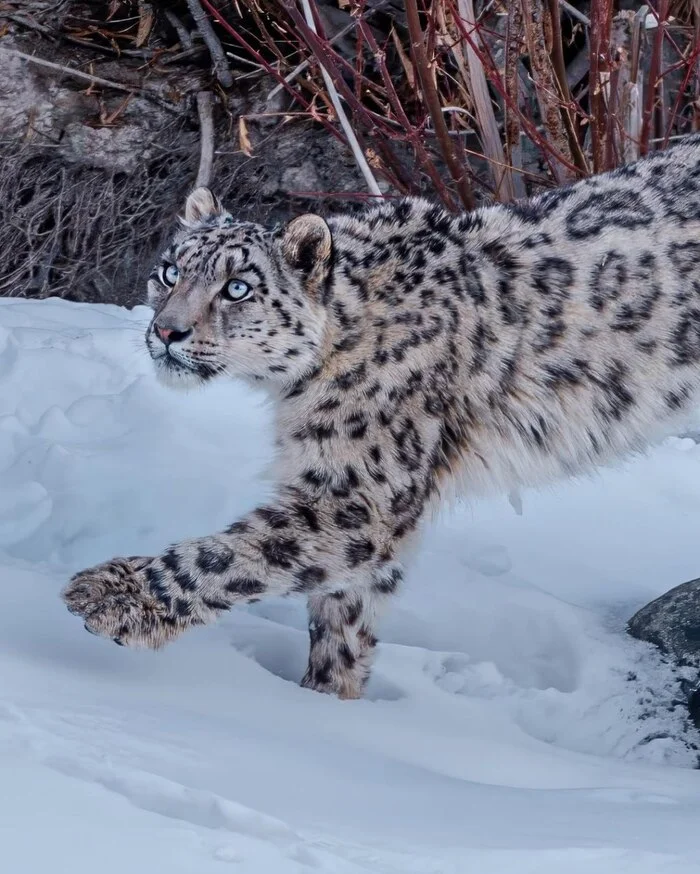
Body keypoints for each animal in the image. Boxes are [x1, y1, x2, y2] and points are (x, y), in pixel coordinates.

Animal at [63, 133, 700, 700]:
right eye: (171, 271)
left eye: (237, 288)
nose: (166, 331)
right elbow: (344, 615)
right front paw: (326, 698)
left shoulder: (358, 495)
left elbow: (229, 555)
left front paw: (113, 597)